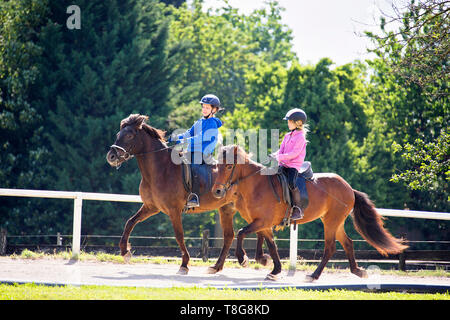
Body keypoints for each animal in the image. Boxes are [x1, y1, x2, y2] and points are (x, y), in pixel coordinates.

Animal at [212, 144, 408, 280]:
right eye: (216, 166)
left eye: (228, 167)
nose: (217, 191)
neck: (256, 185)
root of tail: (348, 188)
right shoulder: (261, 223)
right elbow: (270, 244)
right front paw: (271, 267)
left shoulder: (262, 222)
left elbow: (241, 232)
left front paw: (243, 258)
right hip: (335, 222)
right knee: (348, 243)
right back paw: (356, 271)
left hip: (331, 222)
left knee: (330, 247)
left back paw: (314, 275)